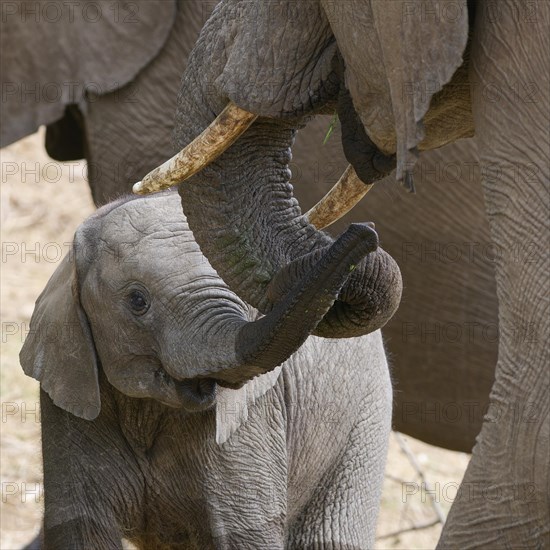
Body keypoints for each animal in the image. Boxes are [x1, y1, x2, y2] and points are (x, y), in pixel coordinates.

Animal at [20, 194, 392, 550]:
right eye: (138, 301)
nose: (367, 231)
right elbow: (83, 534)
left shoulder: (251, 423)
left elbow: (245, 538)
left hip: (365, 417)